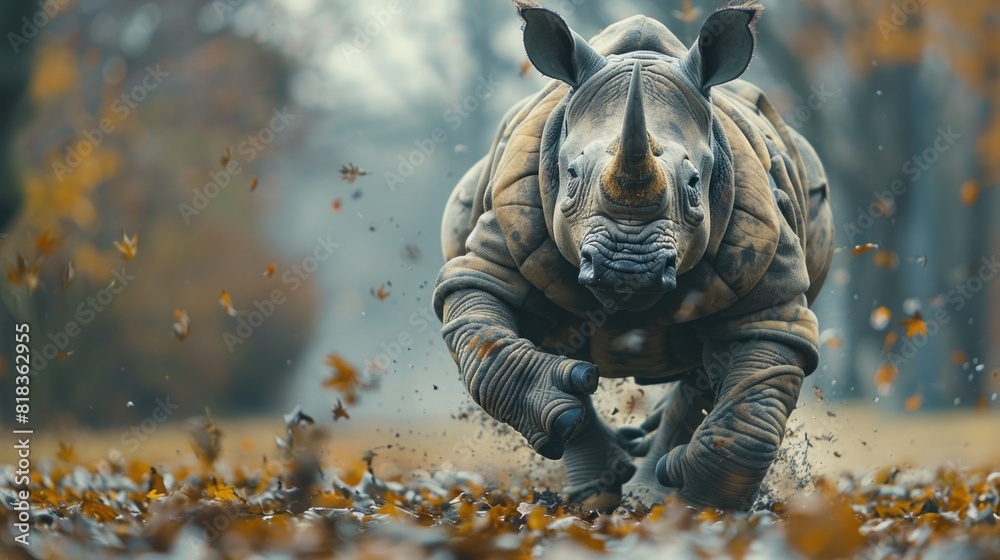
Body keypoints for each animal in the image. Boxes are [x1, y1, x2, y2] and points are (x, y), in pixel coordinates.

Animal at [433, 3, 833, 511]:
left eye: (693, 184)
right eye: (571, 174)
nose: (626, 268)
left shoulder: (767, 288)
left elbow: (752, 410)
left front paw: (700, 509)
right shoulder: (498, 247)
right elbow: (482, 337)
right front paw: (567, 412)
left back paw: (653, 485)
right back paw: (596, 483)